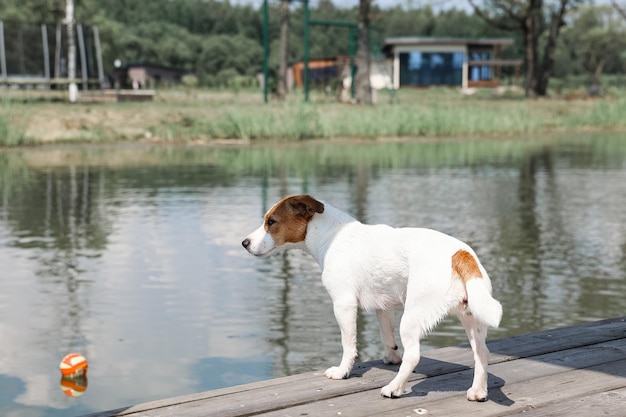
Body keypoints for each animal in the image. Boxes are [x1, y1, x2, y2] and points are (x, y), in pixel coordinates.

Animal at [241, 193, 500, 398]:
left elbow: (348, 343)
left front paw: (342, 372)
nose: (244, 243)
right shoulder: (382, 306)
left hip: (413, 316)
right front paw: (391, 357)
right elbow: (387, 336)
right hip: (472, 318)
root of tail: (461, 253)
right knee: (482, 353)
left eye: (271, 222)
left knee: (414, 356)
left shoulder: (343, 305)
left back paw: (394, 388)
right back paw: (478, 391)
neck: (332, 236)